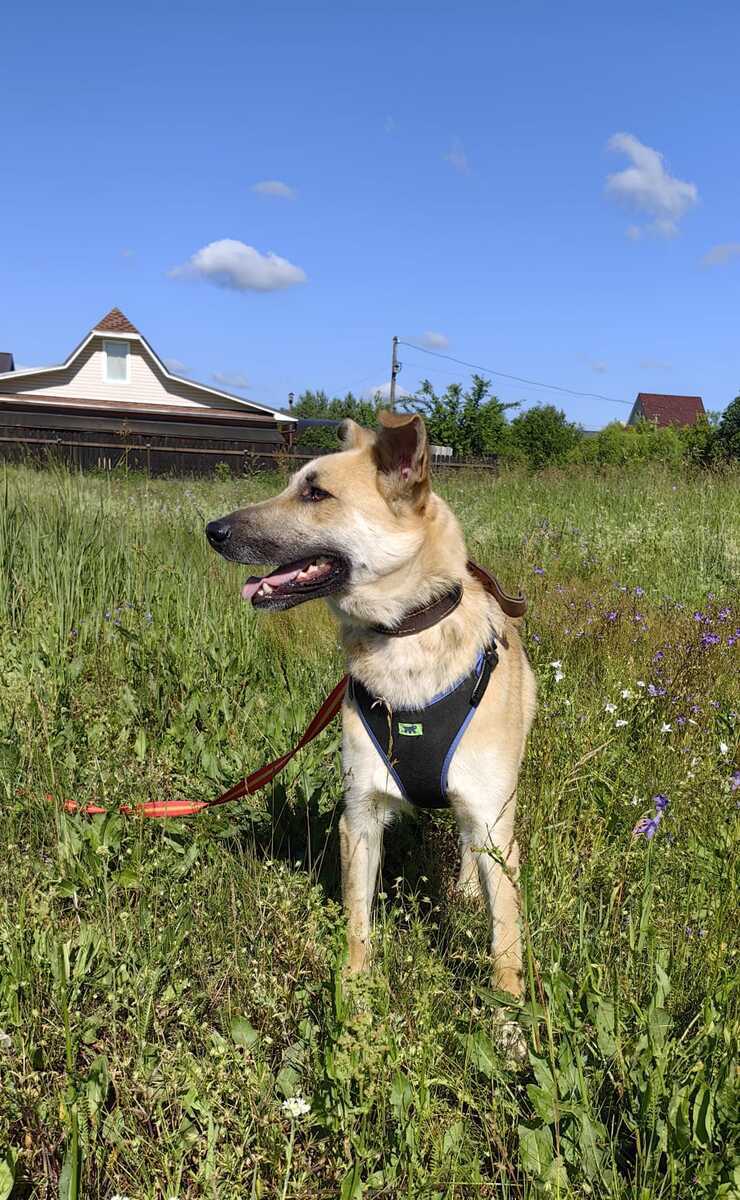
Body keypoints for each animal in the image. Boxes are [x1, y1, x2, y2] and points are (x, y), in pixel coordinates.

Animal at [205, 408, 534, 998]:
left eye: (315, 494)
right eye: (293, 484)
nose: (212, 531)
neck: (404, 631)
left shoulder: (495, 827)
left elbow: (505, 941)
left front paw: (510, 1014)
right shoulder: (360, 815)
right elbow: (358, 920)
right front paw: (355, 995)